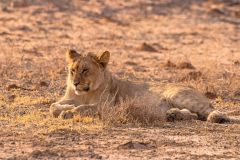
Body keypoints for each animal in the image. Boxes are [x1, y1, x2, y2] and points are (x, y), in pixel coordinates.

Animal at [49, 49, 239, 124]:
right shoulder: (71, 98)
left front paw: (68, 112)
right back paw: (173, 115)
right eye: (73, 70)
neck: (84, 93)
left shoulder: (108, 106)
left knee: (208, 111)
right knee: (194, 115)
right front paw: (62, 109)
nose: (75, 83)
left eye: (85, 70)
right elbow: (53, 105)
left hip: (178, 95)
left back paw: (216, 117)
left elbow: (83, 108)